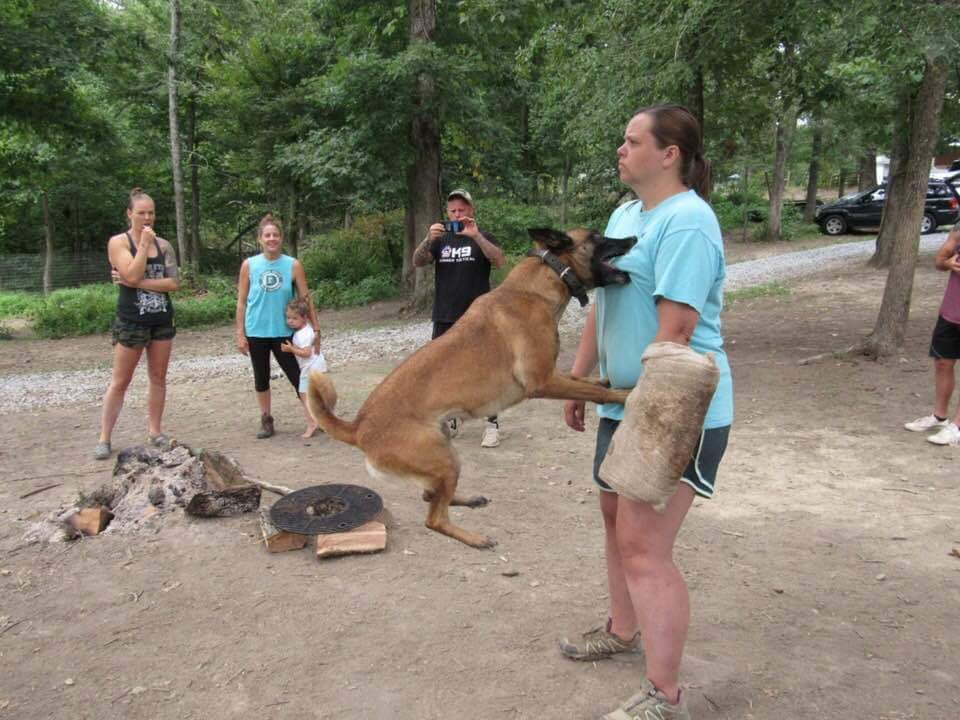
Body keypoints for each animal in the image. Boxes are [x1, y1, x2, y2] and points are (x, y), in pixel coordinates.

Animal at [310, 228, 636, 548]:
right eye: (597, 237)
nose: (633, 239)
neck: (536, 287)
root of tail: (358, 427)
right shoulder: (542, 380)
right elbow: (596, 393)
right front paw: (624, 394)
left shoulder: (553, 374)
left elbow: (584, 382)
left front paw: (604, 380)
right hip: (443, 460)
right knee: (434, 518)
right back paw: (475, 539)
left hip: (444, 454)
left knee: (430, 496)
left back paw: (468, 500)